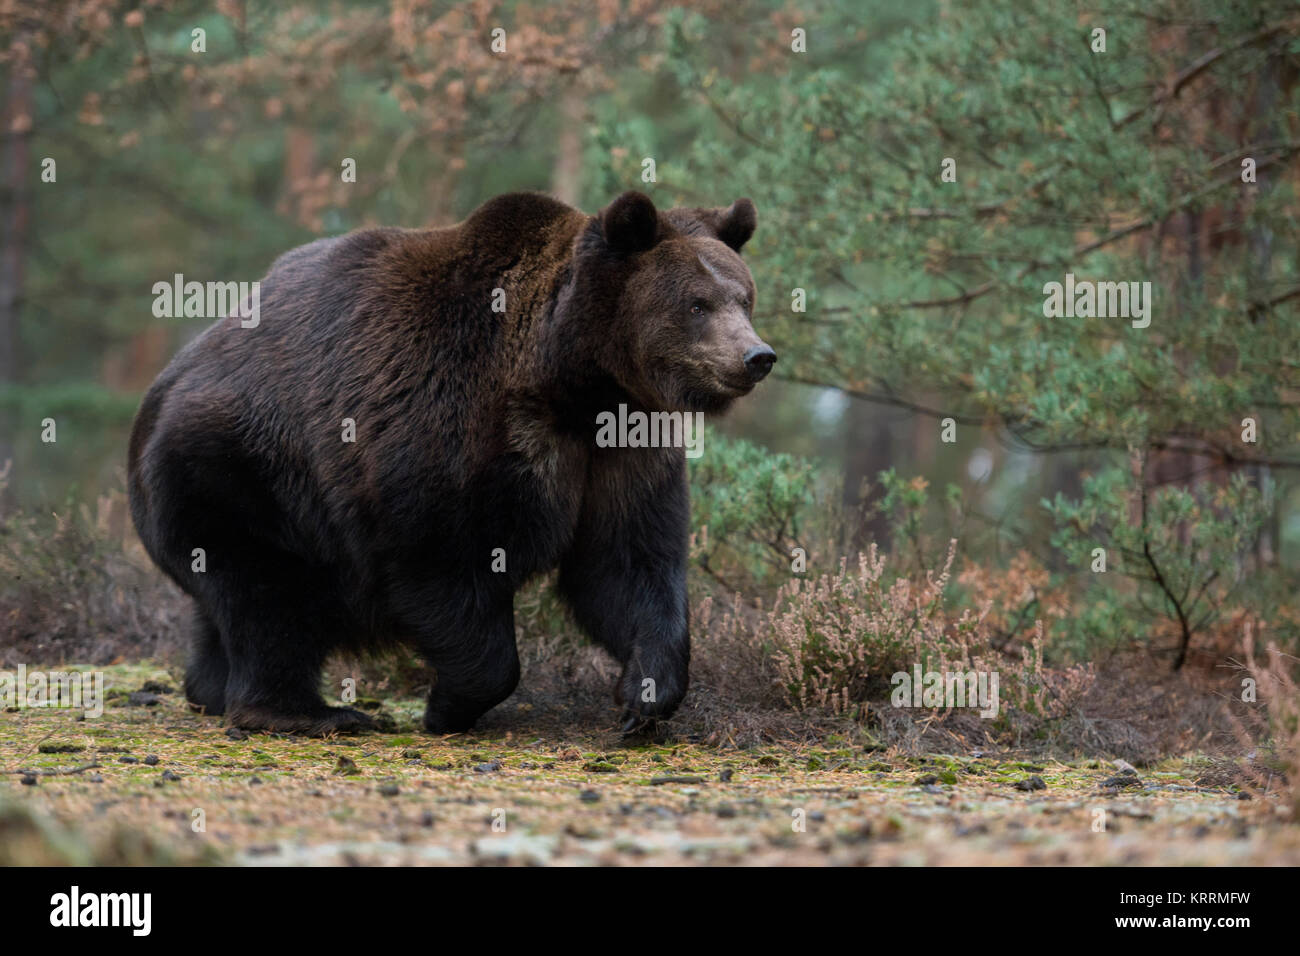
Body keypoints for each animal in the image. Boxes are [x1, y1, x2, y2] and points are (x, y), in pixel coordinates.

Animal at [124, 191, 769, 738]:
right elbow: (443, 562)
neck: (571, 386)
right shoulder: (443, 432)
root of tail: (168, 380)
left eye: (744, 297)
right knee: (266, 593)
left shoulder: (620, 451)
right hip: (236, 468)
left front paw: (643, 696)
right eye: (697, 303)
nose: (756, 356)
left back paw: (208, 688)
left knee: (225, 603)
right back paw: (311, 712)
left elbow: (626, 564)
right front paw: (447, 705)